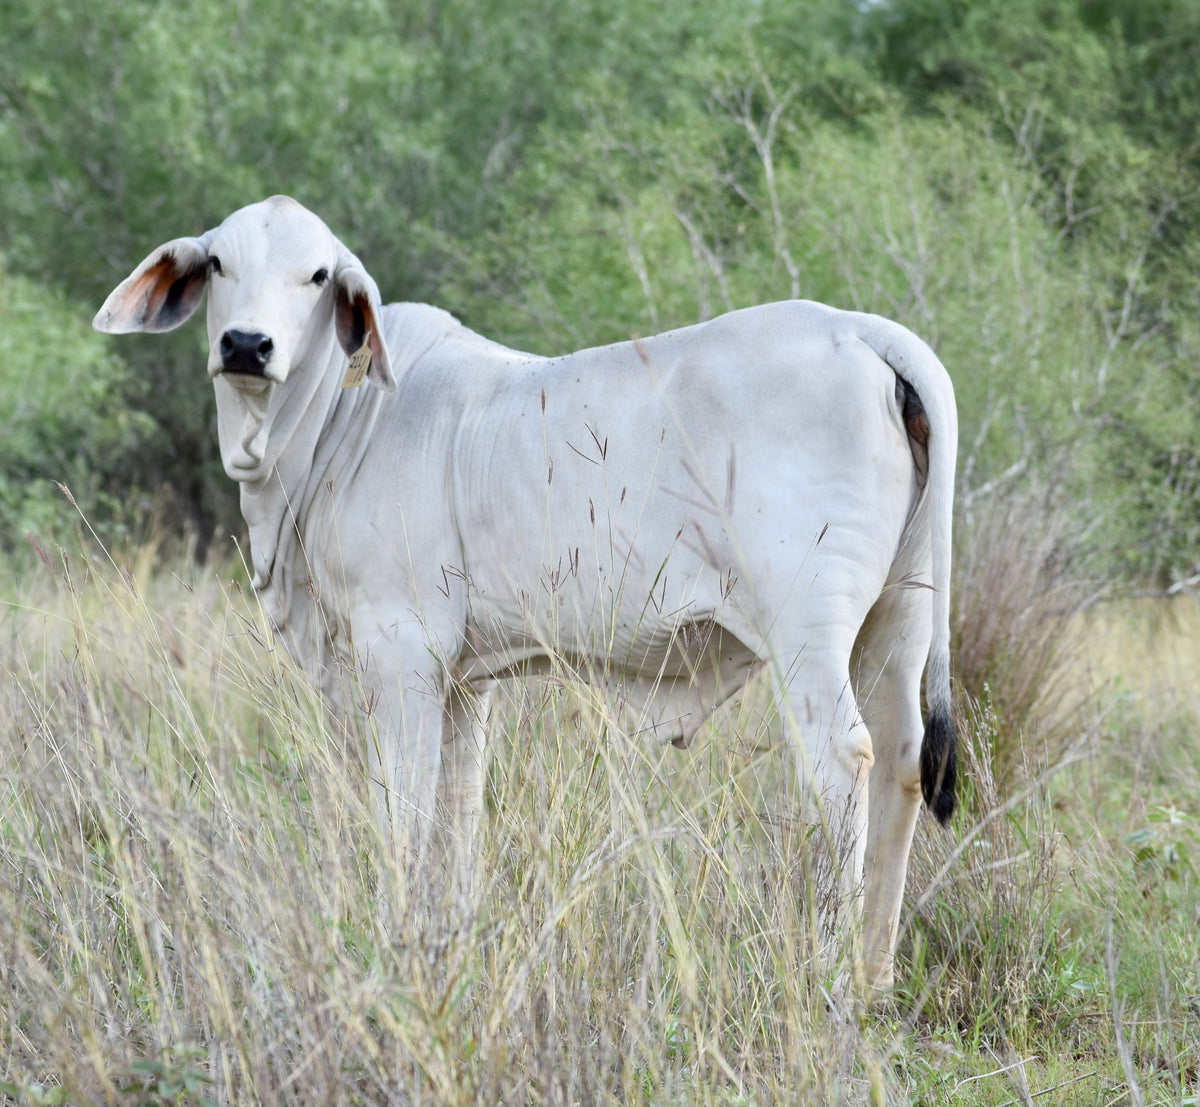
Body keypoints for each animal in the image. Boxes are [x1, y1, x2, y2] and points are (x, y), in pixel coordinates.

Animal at [94, 195, 957, 992]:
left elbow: (405, 814)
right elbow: (458, 818)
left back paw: (833, 981)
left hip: (807, 630)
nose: (246, 345)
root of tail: (861, 331)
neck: (336, 423)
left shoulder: (399, 651)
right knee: (902, 765)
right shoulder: (463, 682)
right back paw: (874, 977)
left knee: (843, 764)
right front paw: (447, 944)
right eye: (218, 265)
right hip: (896, 620)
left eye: (316, 276)